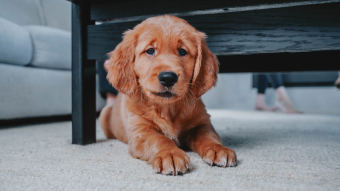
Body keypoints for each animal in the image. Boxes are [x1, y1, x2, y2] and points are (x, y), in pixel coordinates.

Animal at [99, 15, 235, 176]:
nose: (168, 78)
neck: (168, 108)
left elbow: (208, 135)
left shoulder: (201, 122)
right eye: (150, 50)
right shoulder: (141, 131)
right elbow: (159, 139)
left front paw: (218, 149)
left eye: (182, 51)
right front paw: (170, 154)